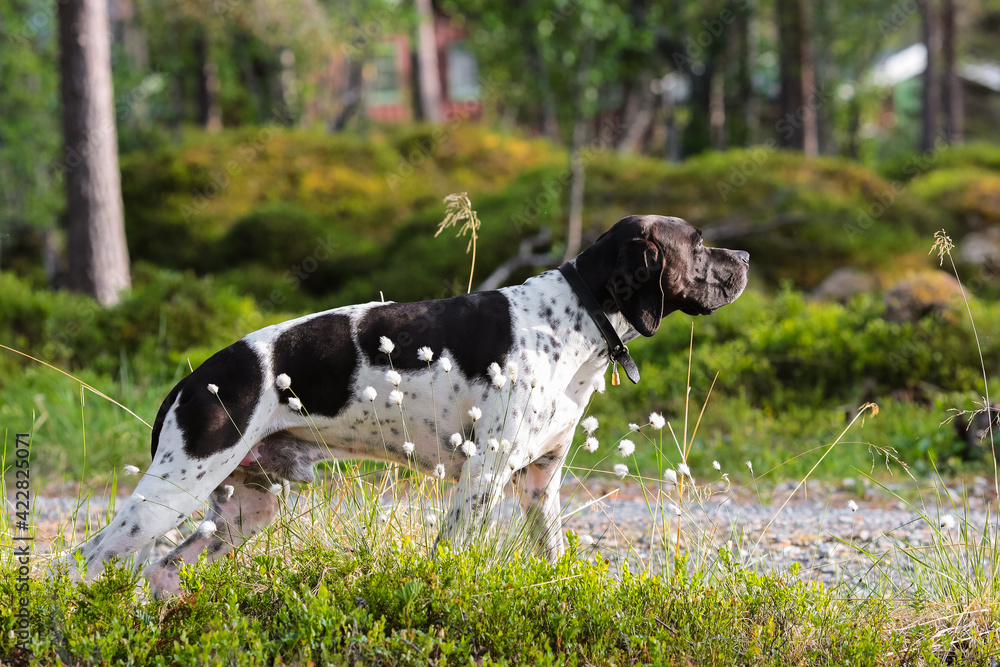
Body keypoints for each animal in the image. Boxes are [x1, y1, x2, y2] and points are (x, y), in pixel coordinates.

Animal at [70, 214, 748, 596]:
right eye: (699, 244)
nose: (745, 257)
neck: (575, 317)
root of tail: (196, 379)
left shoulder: (539, 485)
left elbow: (552, 559)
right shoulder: (482, 478)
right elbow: (451, 561)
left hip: (245, 509)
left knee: (162, 569)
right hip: (173, 490)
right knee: (93, 556)